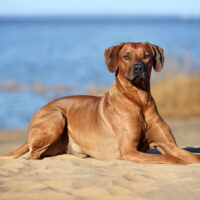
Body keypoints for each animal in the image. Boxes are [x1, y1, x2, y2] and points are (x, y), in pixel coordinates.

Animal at [0, 41, 199, 164]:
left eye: (146, 56)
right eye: (126, 56)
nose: (138, 68)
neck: (139, 100)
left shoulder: (169, 145)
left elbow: (192, 156)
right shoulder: (128, 150)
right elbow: (170, 159)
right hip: (56, 116)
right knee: (31, 156)